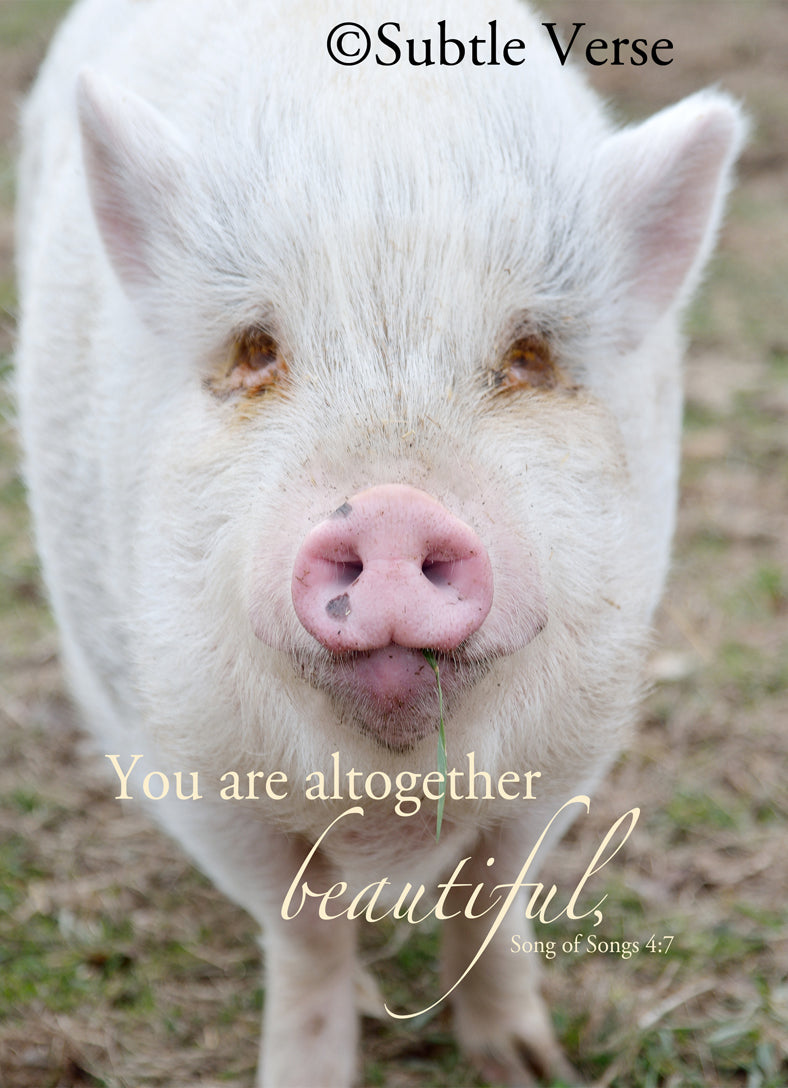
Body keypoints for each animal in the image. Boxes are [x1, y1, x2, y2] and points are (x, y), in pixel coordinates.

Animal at [15, 0, 744, 1084]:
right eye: (255, 352)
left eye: (529, 356)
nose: (392, 507)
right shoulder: (195, 770)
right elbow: (303, 928)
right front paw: (310, 1065)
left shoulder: (569, 753)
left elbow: (492, 894)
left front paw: (529, 1064)